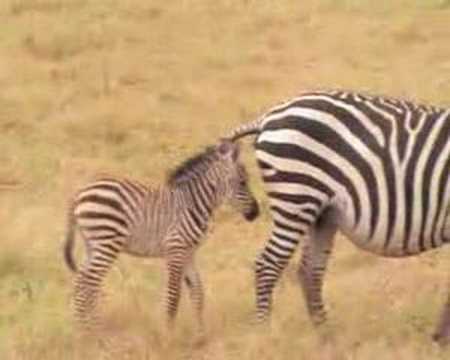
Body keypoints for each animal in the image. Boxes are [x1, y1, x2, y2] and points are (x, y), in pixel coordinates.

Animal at [63, 140, 260, 334]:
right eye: (242, 182)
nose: (255, 213)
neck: (192, 204)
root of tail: (79, 194)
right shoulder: (176, 248)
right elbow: (174, 296)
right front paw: (169, 334)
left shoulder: (189, 253)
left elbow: (198, 292)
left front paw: (200, 333)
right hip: (106, 241)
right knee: (89, 284)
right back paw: (96, 332)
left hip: (93, 245)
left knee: (81, 283)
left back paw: (85, 330)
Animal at [229, 90, 450, 344]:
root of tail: (268, 117)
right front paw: (441, 338)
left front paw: (440, 337)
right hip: (296, 198)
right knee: (268, 264)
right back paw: (265, 332)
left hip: (322, 214)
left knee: (310, 270)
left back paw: (325, 334)